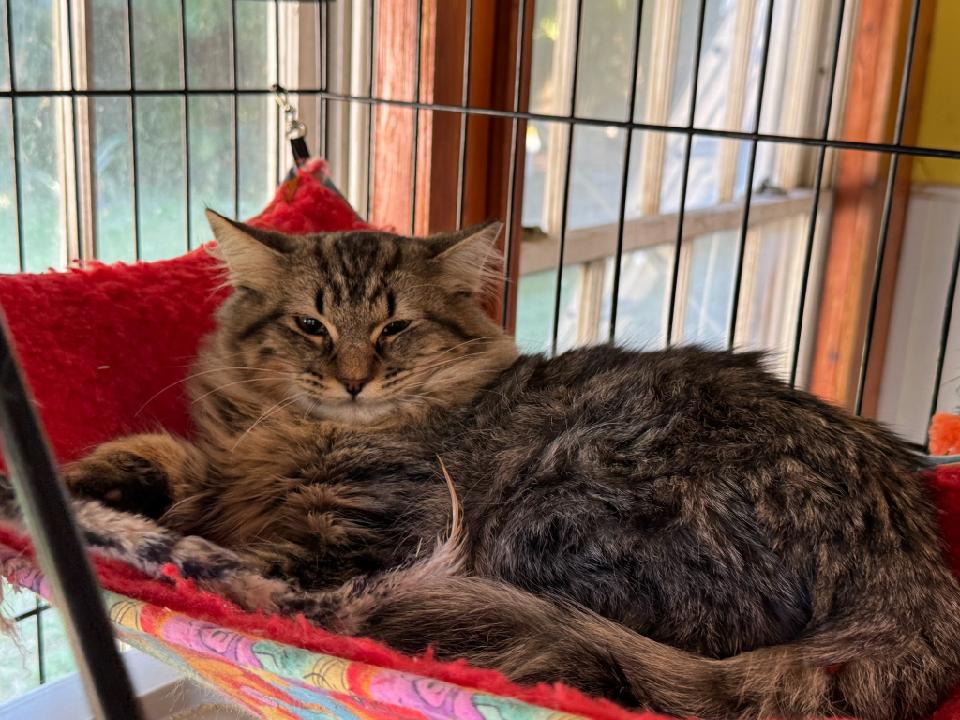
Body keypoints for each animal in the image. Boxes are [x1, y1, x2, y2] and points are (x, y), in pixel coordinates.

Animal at [61, 210, 960, 719]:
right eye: (311, 325)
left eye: (394, 328)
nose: (353, 378)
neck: (295, 435)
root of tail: (909, 554)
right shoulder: (218, 462)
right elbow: (160, 464)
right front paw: (84, 497)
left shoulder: (352, 537)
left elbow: (247, 560)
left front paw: (179, 555)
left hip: (558, 509)